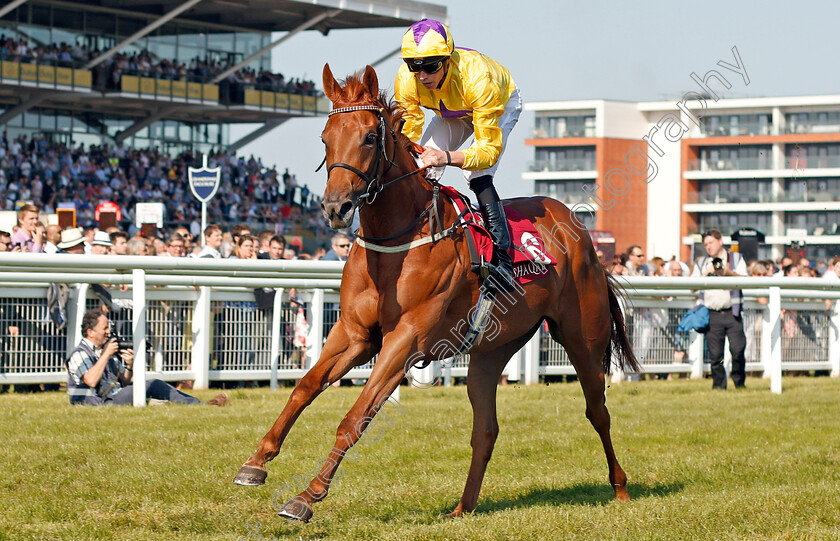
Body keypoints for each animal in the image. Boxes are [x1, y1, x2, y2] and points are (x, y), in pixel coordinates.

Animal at [233, 65, 640, 520]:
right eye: (325, 137)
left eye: (369, 137)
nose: (335, 208)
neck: (396, 240)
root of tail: (578, 228)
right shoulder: (354, 333)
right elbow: (305, 387)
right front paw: (255, 462)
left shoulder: (406, 338)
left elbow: (357, 416)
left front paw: (306, 496)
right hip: (491, 350)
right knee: (486, 429)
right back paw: (463, 508)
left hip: (582, 336)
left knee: (597, 411)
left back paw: (620, 488)